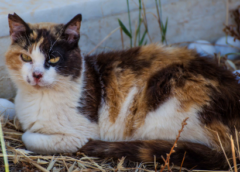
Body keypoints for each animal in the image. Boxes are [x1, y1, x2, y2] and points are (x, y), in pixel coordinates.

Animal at [4, 12, 240, 170]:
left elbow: (28, 136)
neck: (38, 97)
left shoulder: (81, 133)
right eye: (25, 57)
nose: (36, 75)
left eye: (53, 58)